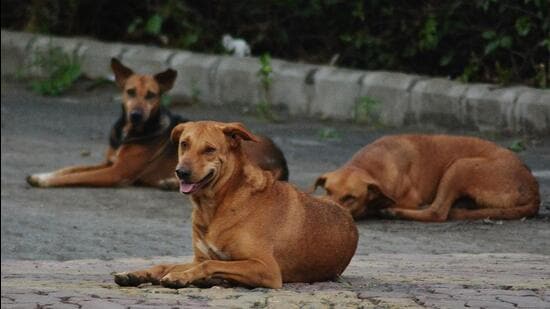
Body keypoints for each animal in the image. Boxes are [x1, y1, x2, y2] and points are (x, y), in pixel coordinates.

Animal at [25, 57, 288, 188]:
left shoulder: (117, 173)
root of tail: (281, 159)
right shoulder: (110, 162)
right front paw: (42, 174)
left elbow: (73, 177)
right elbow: (71, 168)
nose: (136, 115)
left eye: (152, 95)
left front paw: (46, 181)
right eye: (130, 92)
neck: (130, 131)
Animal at [114, 121, 360, 288]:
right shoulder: (200, 257)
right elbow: (167, 264)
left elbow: (208, 266)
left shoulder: (266, 269)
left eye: (209, 149)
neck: (216, 205)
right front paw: (138, 273)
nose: (180, 172)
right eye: (184, 144)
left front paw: (181, 277)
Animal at [314, 134, 544, 220]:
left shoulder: (409, 198)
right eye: (328, 191)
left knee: (438, 212)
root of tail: (534, 188)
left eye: (350, 198)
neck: (370, 164)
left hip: (459, 166)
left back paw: (395, 212)